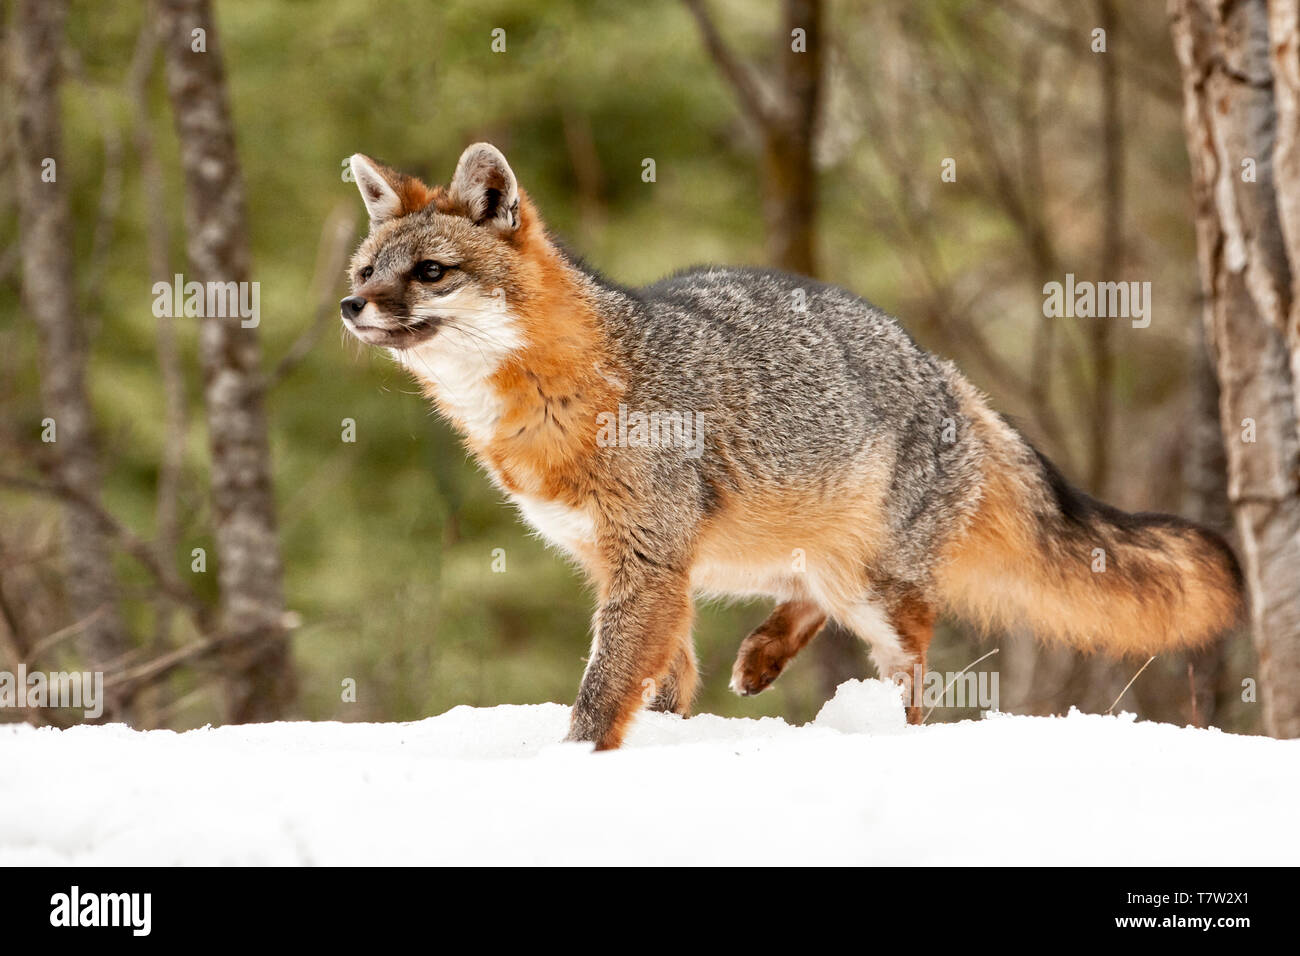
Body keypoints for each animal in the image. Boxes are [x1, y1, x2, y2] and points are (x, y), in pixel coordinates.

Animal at [340, 141, 1242, 749]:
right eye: (363, 270)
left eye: (429, 272)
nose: (349, 307)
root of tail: (946, 373)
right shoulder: (636, 567)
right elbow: (664, 678)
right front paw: (667, 736)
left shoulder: (648, 564)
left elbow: (602, 695)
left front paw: (570, 763)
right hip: (767, 556)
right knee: (806, 598)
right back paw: (764, 656)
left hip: (874, 590)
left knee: (909, 670)